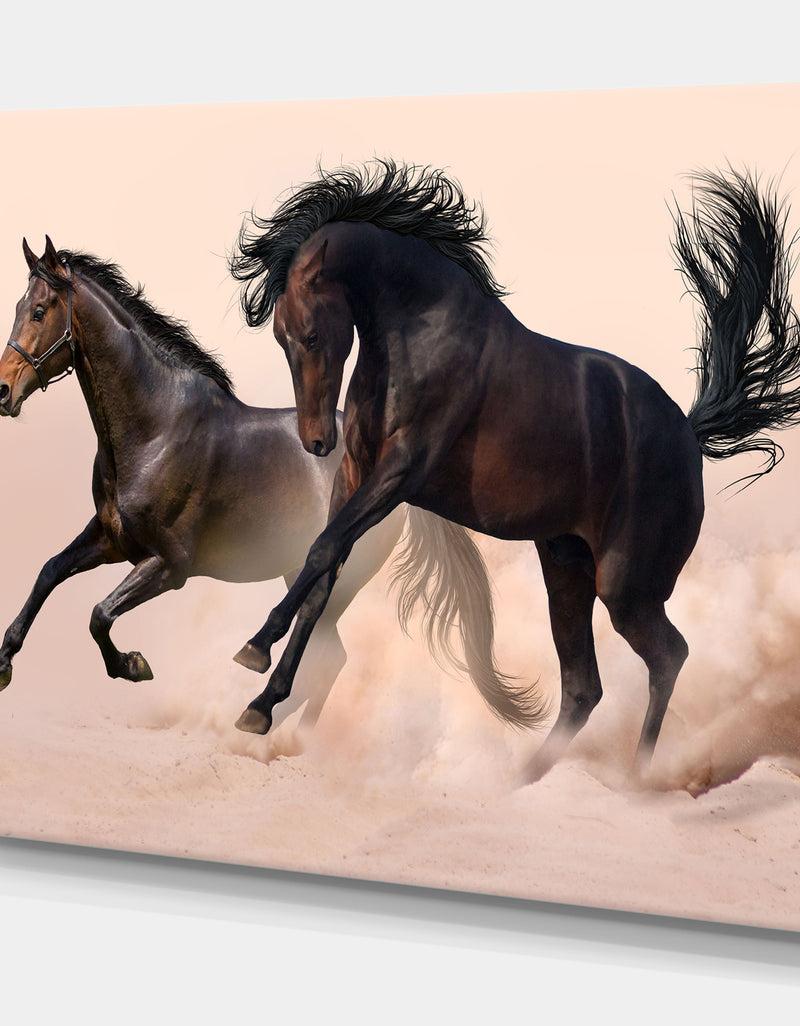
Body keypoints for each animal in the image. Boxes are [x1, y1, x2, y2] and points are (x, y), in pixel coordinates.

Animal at [0, 236, 513, 739]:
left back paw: (271, 725)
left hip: (333, 582)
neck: (155, 430)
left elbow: (99, 614)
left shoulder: (169, 565)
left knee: (322, 654)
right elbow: (48, 572)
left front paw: (133, 665)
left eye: (40, 311)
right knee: (327, 658)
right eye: (19, 307)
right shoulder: (111, 539)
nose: (3, 391)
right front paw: (5, 664)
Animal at [229, 161, 800, 780]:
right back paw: (518, 782)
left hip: (626, 586)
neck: (418, 332)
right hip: (566, 571)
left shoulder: (401, 472)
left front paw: (254, 648)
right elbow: (323, 568)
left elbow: (320, 552)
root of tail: (689, 435)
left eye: (311, 335)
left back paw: (635, 778)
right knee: (584, 687)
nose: (315, 441)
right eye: (280, 337)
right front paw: (260, 704)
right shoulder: (355, 476)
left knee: (669, 656)